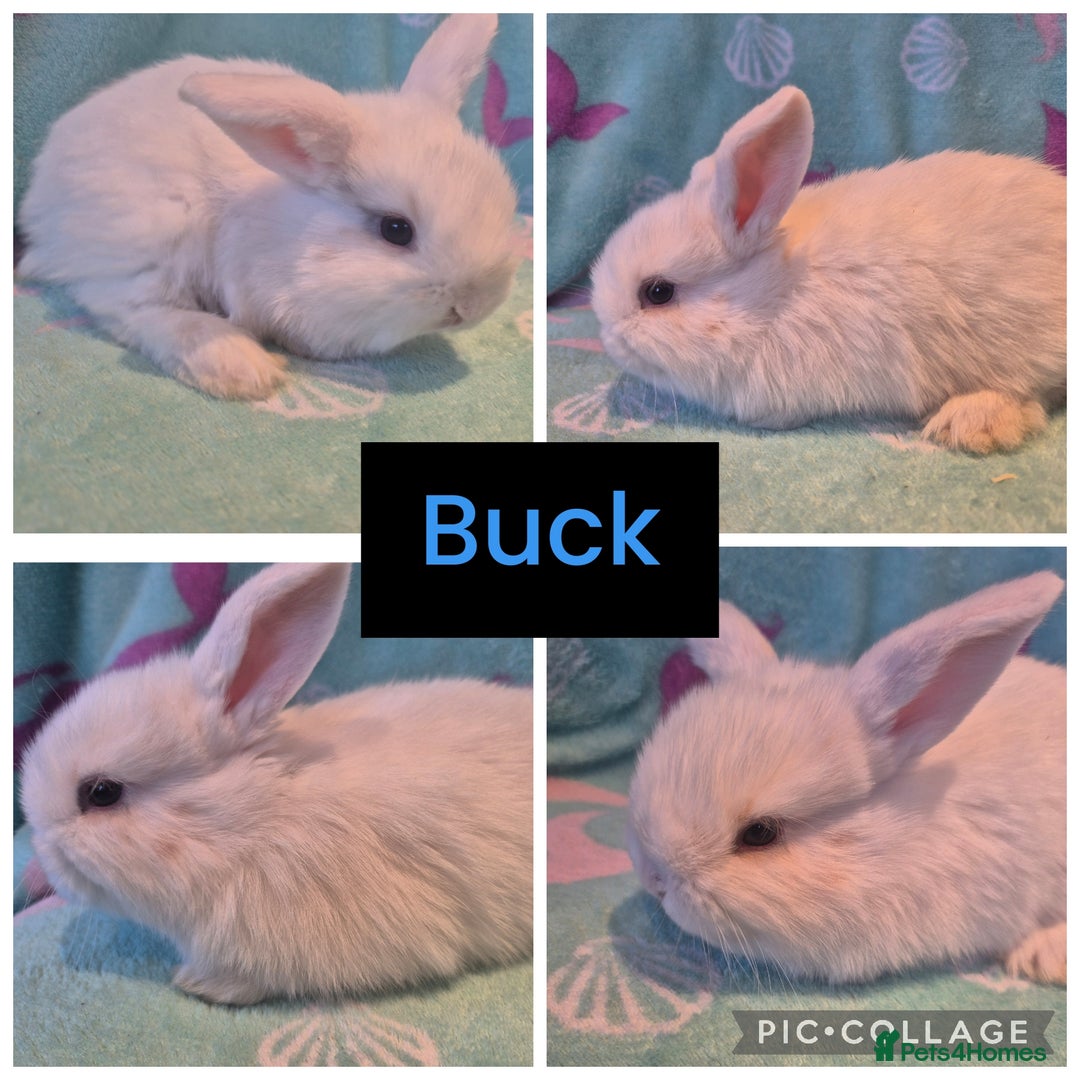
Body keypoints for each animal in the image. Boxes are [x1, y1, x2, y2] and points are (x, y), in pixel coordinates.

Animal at [17, 15, 521, 399]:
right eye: (396, 230)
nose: (474, 306)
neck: (290, 233)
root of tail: (41, 195)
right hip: (153, 236)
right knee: (126, 308)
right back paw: (239, 367)